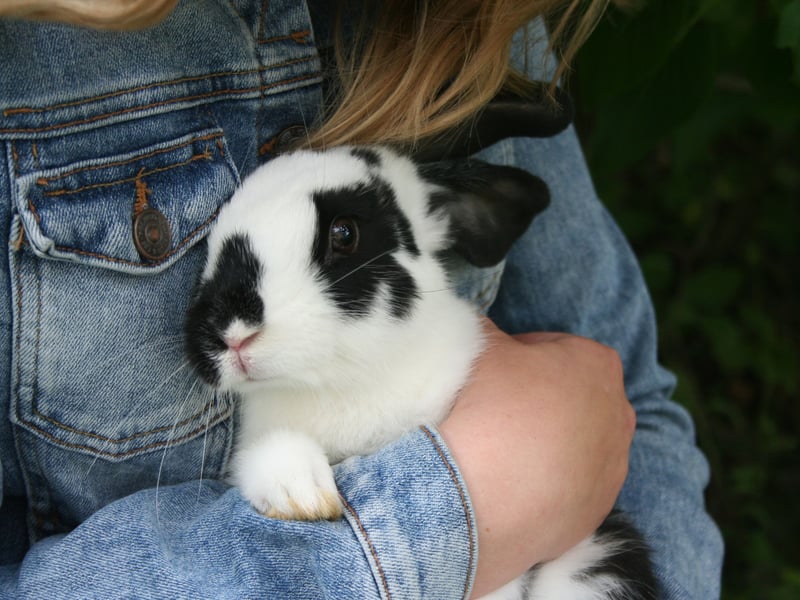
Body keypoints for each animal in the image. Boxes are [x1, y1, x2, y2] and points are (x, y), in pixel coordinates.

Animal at [184, 146, 657, 600]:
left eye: (344, 233)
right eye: (211, 247)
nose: (231, 332)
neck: (341, 384)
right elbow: (271, 454)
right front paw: (303, 496)